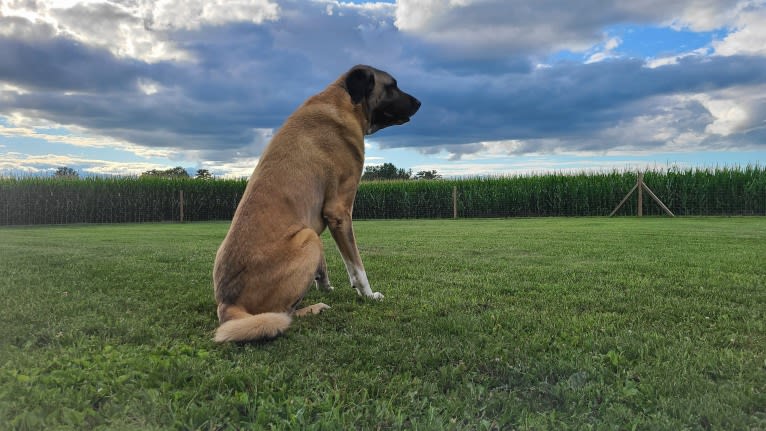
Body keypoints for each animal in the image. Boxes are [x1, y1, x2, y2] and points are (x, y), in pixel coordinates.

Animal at [213, 64, 424, 342]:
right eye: (392, 85)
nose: (419, 102)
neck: (344, 101)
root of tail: (227, 304)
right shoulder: (340, 211)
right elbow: (356, 265)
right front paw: (368, 294)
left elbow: (326, 264)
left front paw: (325, 285)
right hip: (307, 238)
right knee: (283, 313)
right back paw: (314, 309)